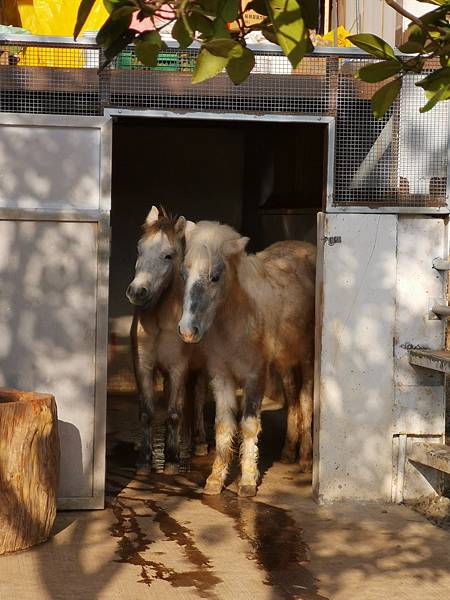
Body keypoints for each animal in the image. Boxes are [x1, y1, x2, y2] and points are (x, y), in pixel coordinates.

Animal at [126, 206, 207, 468]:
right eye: (139, 249)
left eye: (168, 256)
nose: (137, 292)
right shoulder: (144, 366)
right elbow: (146, 412)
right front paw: (145, 459)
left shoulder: (178, 367)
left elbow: (173, 412)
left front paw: (171, 459)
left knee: (198, 400)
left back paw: (199, 443)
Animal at [178, 221, 314, 496]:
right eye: (184, 274)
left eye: (215, 277)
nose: (188, 331)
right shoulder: (221, 376)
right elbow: (223, 425)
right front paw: (215, 479)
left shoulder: (255, 376)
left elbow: (249, 425)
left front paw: (248, 480)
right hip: (284, 361)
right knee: (292, 398)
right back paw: (288, 452)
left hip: (306, 358)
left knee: (305, 400)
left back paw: (305, 458)